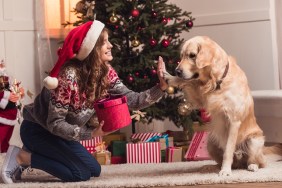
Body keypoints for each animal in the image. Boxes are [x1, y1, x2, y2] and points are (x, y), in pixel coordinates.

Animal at [162, 36, 282, 176]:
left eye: (192, 55)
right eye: (181, 56)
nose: (177, 71)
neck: (217, 80)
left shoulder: (233, 121)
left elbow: (228, 151)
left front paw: (225, 171)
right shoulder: (202, 99)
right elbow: (190, 82)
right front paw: (171, 78)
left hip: (254, 141)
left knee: (258, 162)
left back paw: (252, 166)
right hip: (210, 143)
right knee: (225, 162)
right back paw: (210, 167)